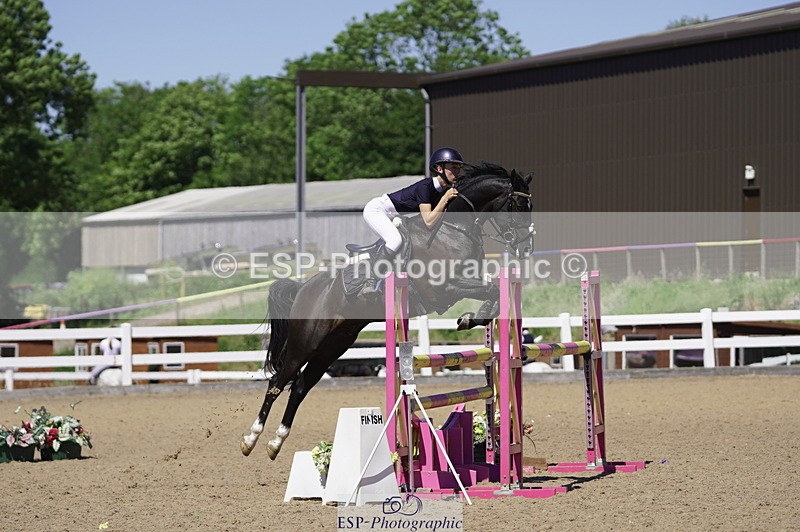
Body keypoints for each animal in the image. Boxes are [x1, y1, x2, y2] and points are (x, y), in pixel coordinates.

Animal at [241, 162, 533, 460]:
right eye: (520, 204)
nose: (525, 248)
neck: (454, 230)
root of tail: (303, 288)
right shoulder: (445, 289)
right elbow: (490, 290)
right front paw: (469, 318)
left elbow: (493, 292)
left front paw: (472, 318)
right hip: (306, 342)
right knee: (277, 381)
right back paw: (251, 439)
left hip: (333, 346)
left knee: (300, 386)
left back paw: (276, 442)